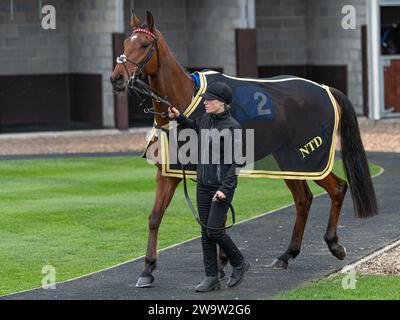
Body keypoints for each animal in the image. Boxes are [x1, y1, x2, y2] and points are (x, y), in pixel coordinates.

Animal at [110, 11, 378, 288]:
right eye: (125, 43)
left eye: (144, 44)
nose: (117, 78)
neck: (186, 100)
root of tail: (325, 88)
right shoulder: (168, 173)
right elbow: (155, 217)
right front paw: (147, 269)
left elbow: (216, 217)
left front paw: (220, 265)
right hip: (288, 162)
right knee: (303, 199)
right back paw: (287, 254)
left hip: (309, 158)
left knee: (337, 188)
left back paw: (334, 244)